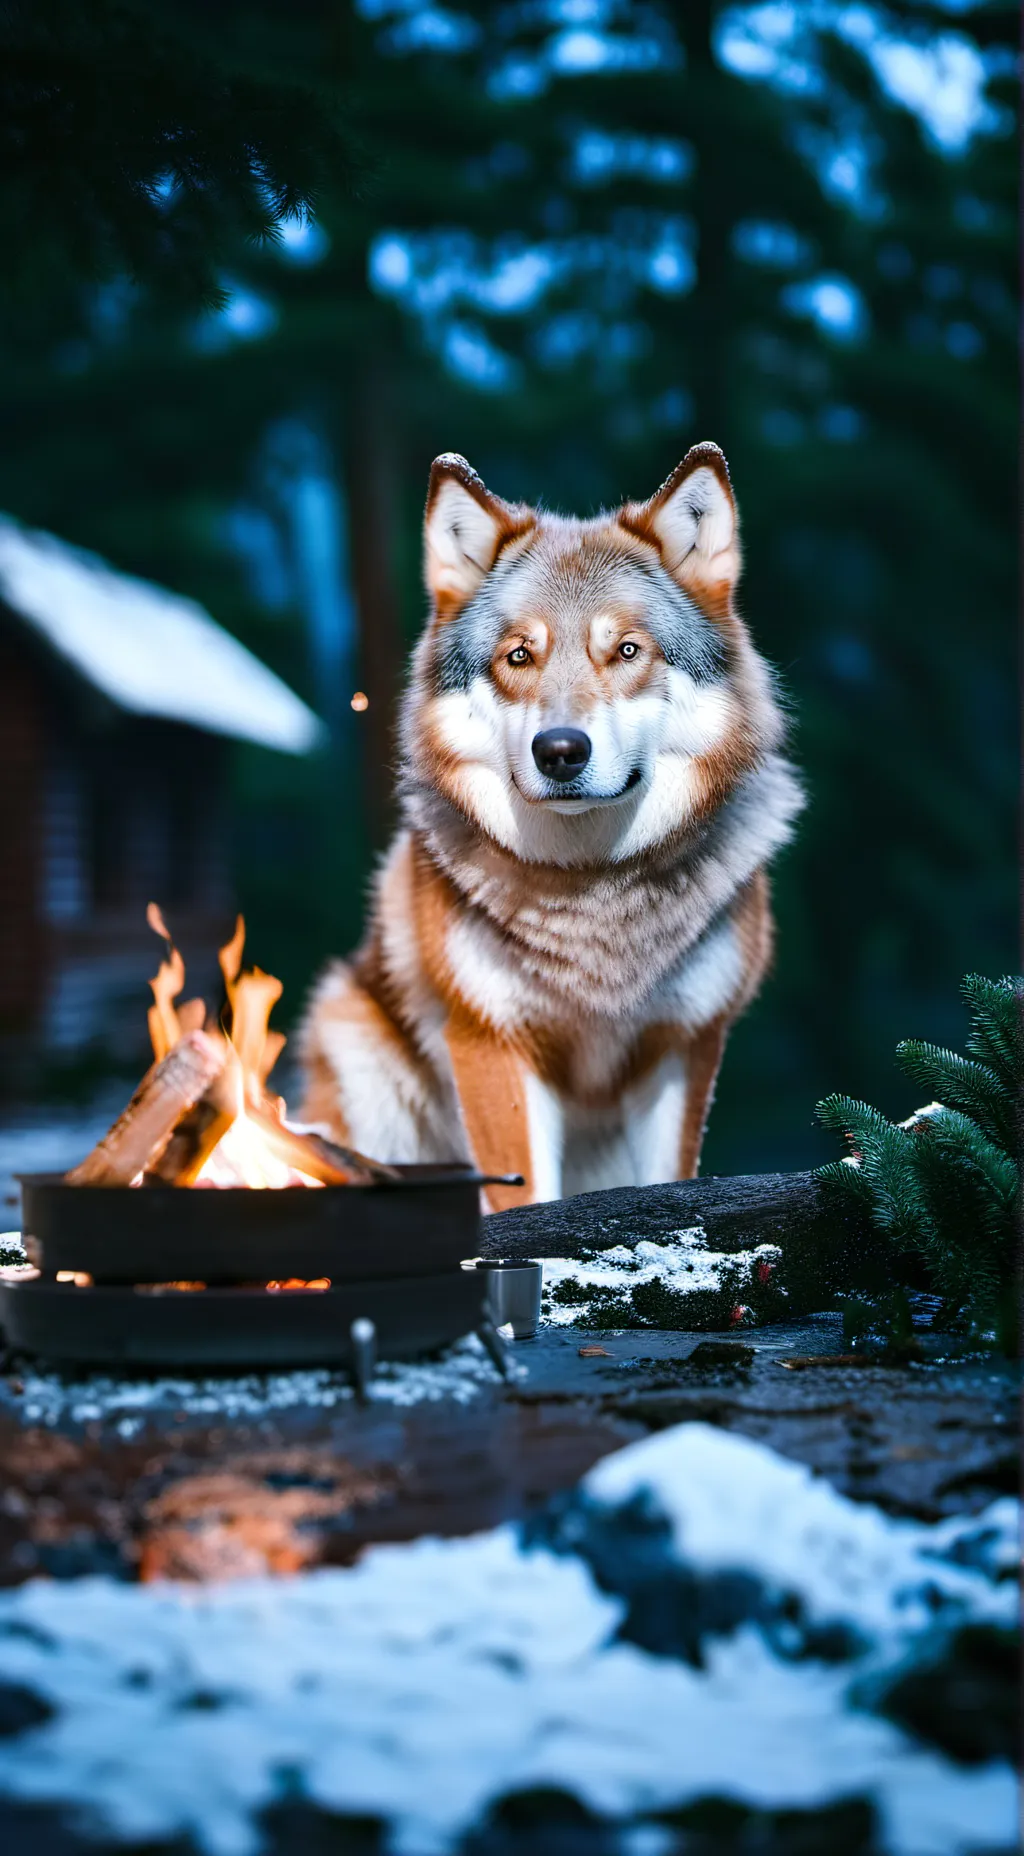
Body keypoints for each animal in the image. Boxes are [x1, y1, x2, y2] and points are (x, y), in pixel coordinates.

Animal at [300, 444, 804, 1209]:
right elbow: (527, 1198)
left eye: (626, 651)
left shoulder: (684, 1046)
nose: (561, 751)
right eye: (519, 656)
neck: (593, 889)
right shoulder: (493, 1043)